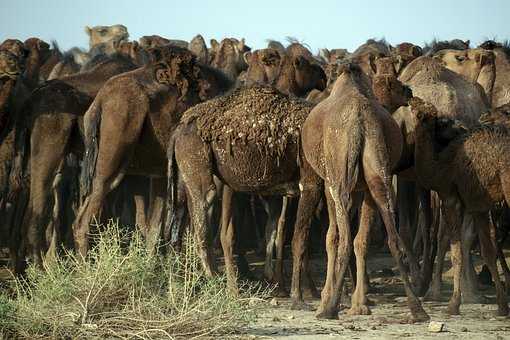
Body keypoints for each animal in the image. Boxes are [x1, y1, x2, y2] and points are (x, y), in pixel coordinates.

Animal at [300, 63, 428, 322]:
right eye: (397, 85)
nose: (409, 90)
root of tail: (359, 123)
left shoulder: (329, 181)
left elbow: (332, 237)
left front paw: (329, 297)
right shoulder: (363, 188)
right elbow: (362, 239)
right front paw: (360, 301)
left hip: (340, 176)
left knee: (344, 239)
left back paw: (329, 308)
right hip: (377, 169)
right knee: (389, 235)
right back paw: (417, 309)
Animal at [410, 97, 510, 316]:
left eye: (441, 122)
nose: (413, 98)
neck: (441, 167)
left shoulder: (450, 198)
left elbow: (456, 251)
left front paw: (453, 304)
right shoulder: (478, 205)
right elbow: (487, 253)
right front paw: (501, 305)